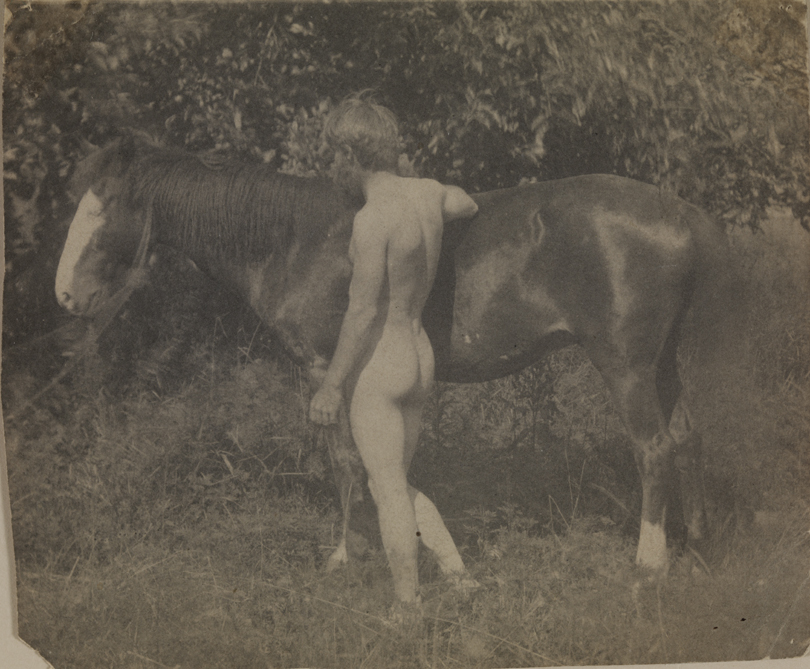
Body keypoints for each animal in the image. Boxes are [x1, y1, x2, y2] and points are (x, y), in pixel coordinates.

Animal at [55, 135, 722, 583]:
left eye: (102, 207)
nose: (64, 295)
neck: (292, 240)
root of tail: (683, 216)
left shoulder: (325, 371)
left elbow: (348, 464)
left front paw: (346, 556)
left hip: (626, 365)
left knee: (654, 448)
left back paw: (649, 562)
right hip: (663, 363)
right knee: (688, 437)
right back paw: (694, 547)